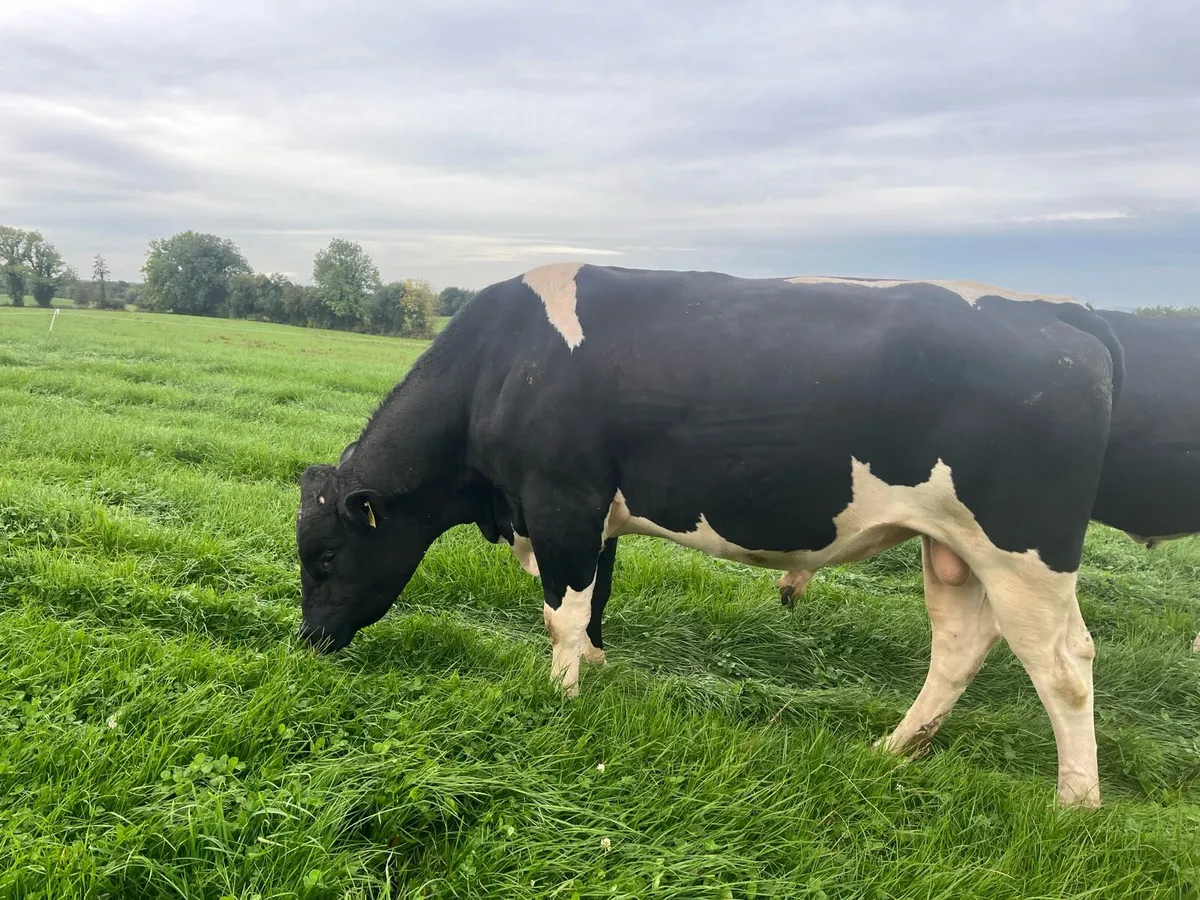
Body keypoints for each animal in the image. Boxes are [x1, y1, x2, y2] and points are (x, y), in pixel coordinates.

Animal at [296, 264, 1123, 807]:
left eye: (326, 557)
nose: (307, 644)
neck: (500, 367)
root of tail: (1057, 316)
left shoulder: (561, 501)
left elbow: (561, 611)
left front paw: (561, 695)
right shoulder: (592, 514)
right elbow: (595, 599)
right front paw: (595, 669)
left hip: (1024, 551)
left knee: (1064, 665)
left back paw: (1075, 802)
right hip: (955, 549)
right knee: (959, 645)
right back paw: (896, 748)